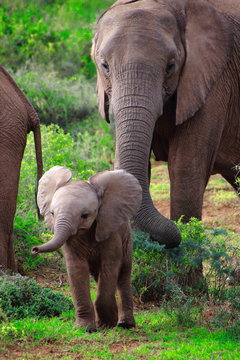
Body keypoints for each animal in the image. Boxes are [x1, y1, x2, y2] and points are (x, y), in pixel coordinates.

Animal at [31, 166, 142, 332]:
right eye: (52, 213)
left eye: (85, 215)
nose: (34, 249)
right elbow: (76, 268)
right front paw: (85, 328)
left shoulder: (110, 230)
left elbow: (110, 264)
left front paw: (107, 323)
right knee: (99, 276)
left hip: (127, 240)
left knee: (123, 274)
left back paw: (125, 324)